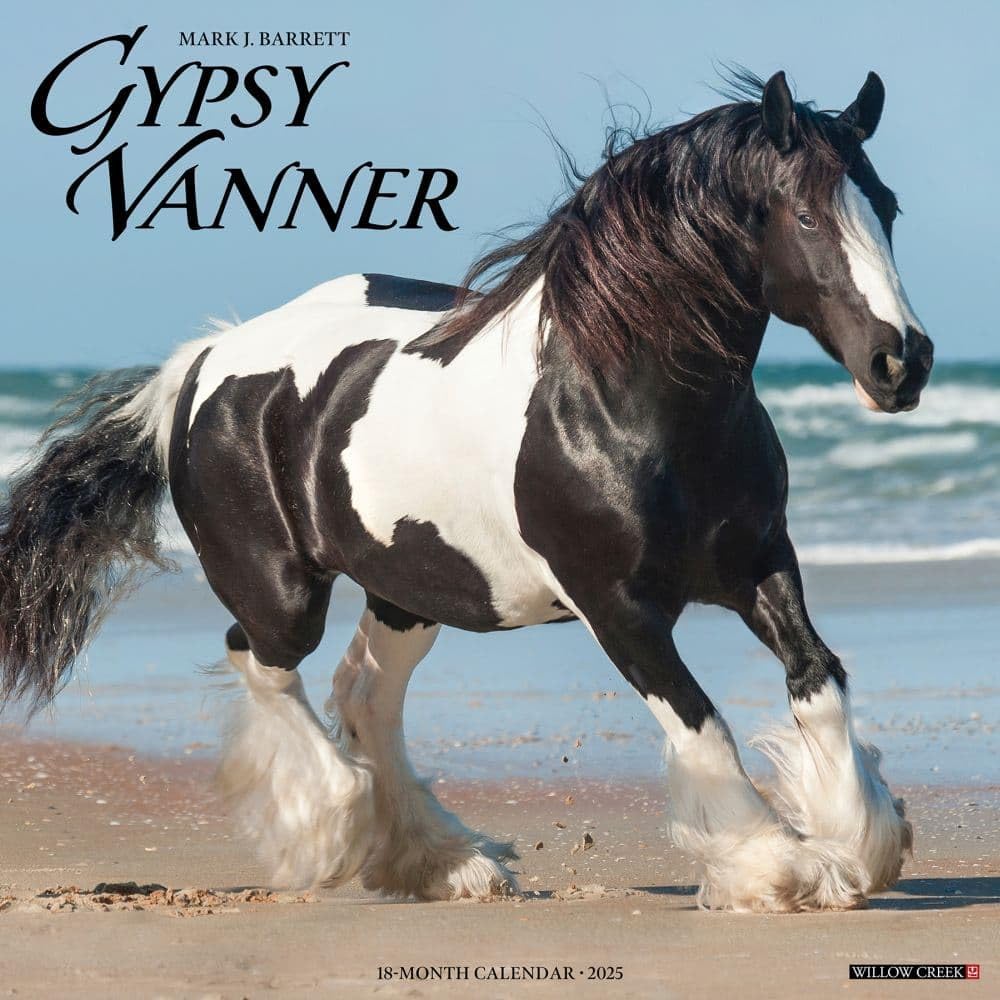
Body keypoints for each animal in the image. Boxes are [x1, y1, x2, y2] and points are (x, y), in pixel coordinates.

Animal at [0, 69, 933, 911]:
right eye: (805, 214)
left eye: (886, 206)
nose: (903, 361)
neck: (625, 406)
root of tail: (202, 363)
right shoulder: (618, 609)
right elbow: (701, 725)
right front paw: (778, 868)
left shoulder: (761, 564)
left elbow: (818, 678)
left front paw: (862, 844)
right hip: (283, 592)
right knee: (260, 661)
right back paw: (330, 833)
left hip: (412, 588)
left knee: (364, 694)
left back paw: (441, 862)